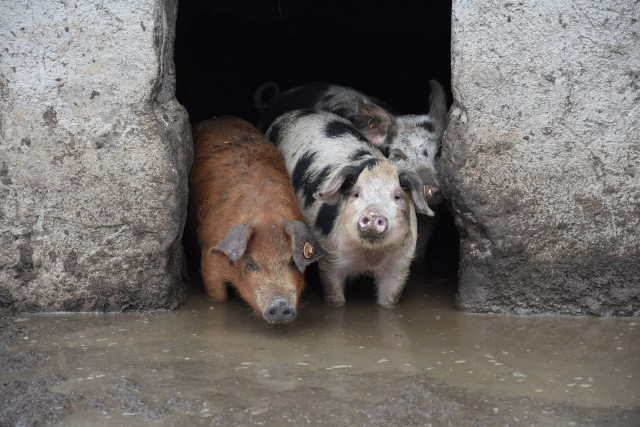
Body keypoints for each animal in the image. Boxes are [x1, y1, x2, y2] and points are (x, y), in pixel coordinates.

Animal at [188, 117, 322, 324]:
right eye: (251, 264)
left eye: (292, 262)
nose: (280, 304)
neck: (266, 216)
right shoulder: (210, 258)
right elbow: (217, 294)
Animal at [264, 108, 430, 306]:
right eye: (356, 193)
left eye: (397, 196)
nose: (373, 214)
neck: (370, 255)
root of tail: (294, 112)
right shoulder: (330, 257)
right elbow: (334, 295)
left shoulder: (400, 263)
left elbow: (389, 299)